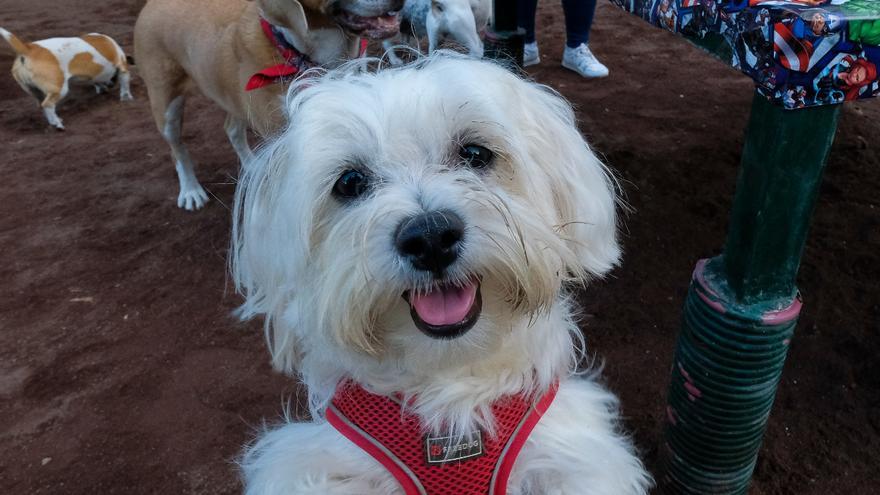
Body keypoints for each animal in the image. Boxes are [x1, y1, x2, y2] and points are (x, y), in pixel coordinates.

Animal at [0, 28, 132, 131]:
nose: (110, 85)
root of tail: (27, 49)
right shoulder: (123, 69)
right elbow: (125, 85)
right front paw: (127, 98)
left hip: (35, 91)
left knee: (42, 105)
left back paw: (55, 120)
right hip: (60, 89)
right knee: (48, 104)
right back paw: (57, 124)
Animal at [234, 52, 652, 494]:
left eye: (475, 153)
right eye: (349, 182)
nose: (430, 237)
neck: (450, 385)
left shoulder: (571, 456)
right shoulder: (312, 466)